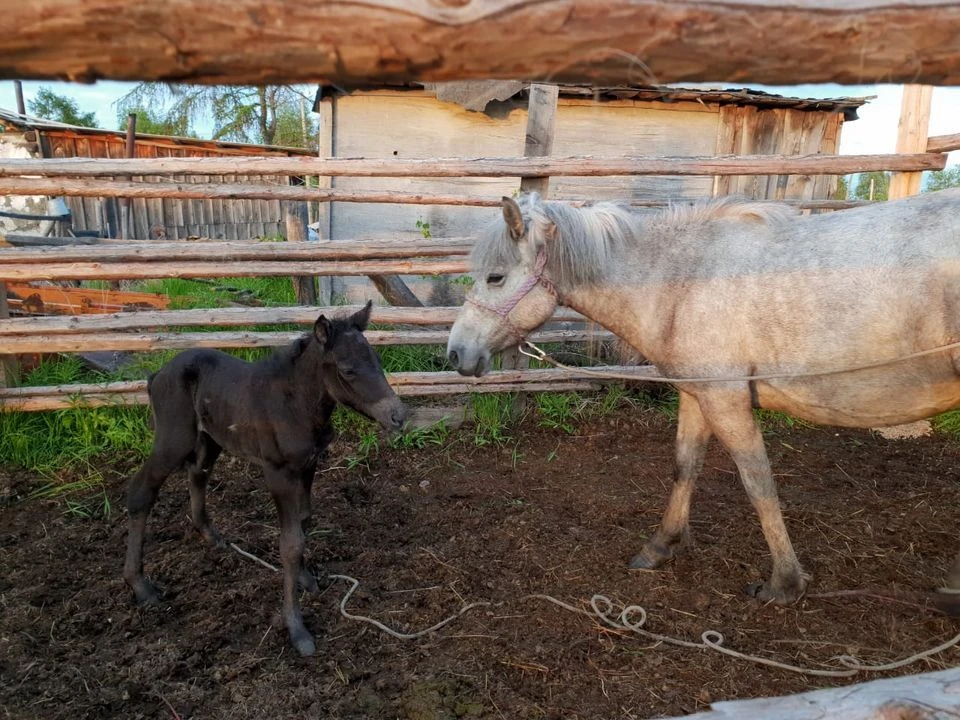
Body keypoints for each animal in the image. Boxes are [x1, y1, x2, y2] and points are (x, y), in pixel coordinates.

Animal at [122, 304, 406, 660]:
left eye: (377, 361)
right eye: (348, 369)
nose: (398, 416)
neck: (296, 404)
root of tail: (157, 375)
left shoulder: (308, 465)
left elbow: (303, 522)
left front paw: (306, 579)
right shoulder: (278, 472)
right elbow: (290, 544)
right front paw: (297, 629)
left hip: (210, 438)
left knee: (198, 472)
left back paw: (211, 536)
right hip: (173, 439)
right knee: (141, 492)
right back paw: (141, 586)